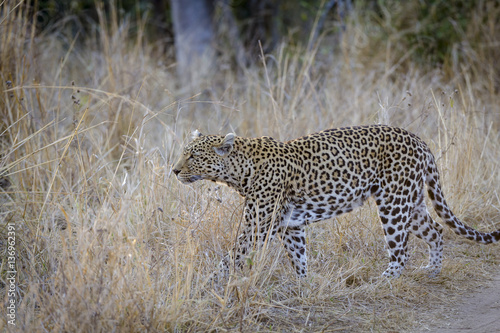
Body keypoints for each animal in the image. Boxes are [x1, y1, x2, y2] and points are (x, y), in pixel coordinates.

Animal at [173, 124, 500, 278]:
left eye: (193, 155)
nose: (174, 170)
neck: (239, 170)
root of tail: (420, 141)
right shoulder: (291, 225)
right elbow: (299, 257)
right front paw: (304, 286)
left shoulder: (257, 225)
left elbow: (231, 258)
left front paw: (210, 286)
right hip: (411, 200)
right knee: (436, 230)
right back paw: (432, 271)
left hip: (393, 203)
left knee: (400, 251)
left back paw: (382, 281)